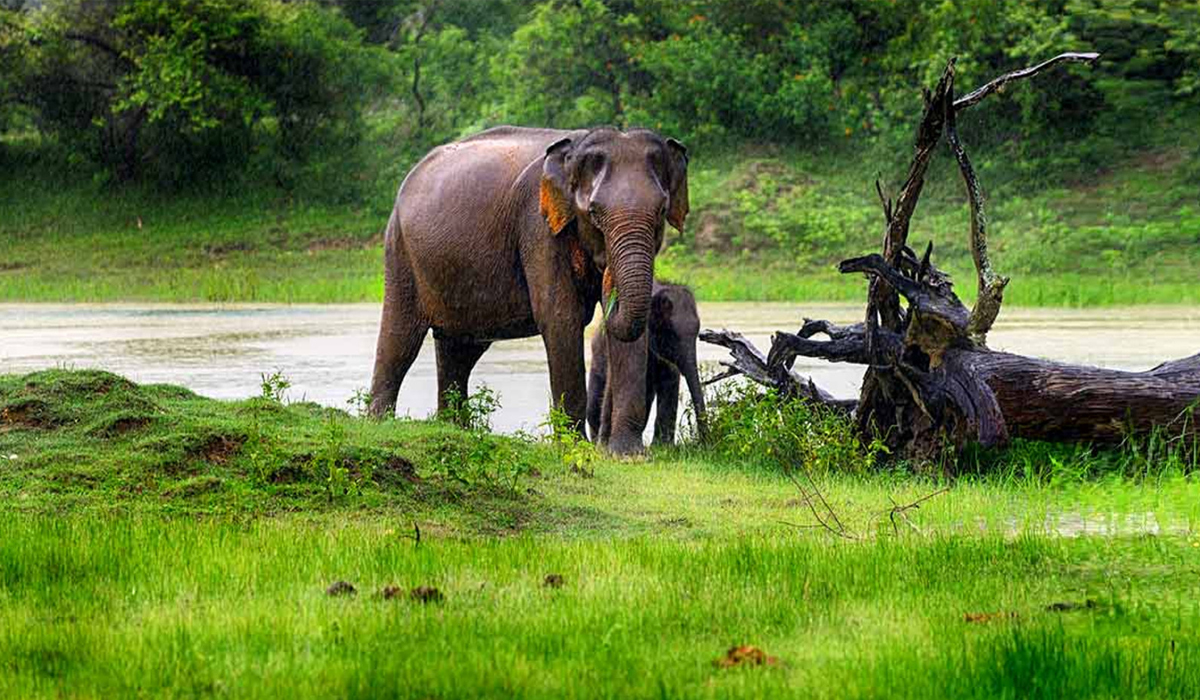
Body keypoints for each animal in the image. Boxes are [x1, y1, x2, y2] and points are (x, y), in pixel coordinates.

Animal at [364, 123, 691, 434]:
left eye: (661, 210)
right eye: (594, 212)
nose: (607, 286)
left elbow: (634, 333)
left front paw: (626, 452)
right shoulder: (537, 225)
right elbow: (560, 317)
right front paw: (575, 446)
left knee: (459, 350)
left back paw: (454, 428)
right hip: (400, 250)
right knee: (399, 339)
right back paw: (379, 424)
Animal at [588, 282, 705, 451]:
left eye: (697, 334)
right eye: (670, 334)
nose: (704, 442)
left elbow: (670, 381)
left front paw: (663, 447)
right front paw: (603, 447)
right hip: (597, 357)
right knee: (593, 406)